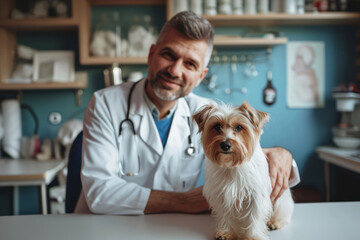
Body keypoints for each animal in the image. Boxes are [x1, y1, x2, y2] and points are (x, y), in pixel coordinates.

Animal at [193, 102, 294, 239]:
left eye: (239, 127)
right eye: (217, 126)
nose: (225, 145)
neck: (231, 165)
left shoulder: (255, 195)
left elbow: (254, 217)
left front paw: (252, 236)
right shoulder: (221, 195)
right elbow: (224, 215)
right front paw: (226, 232)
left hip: (280, 200)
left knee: (284, 213)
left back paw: (275, 222)